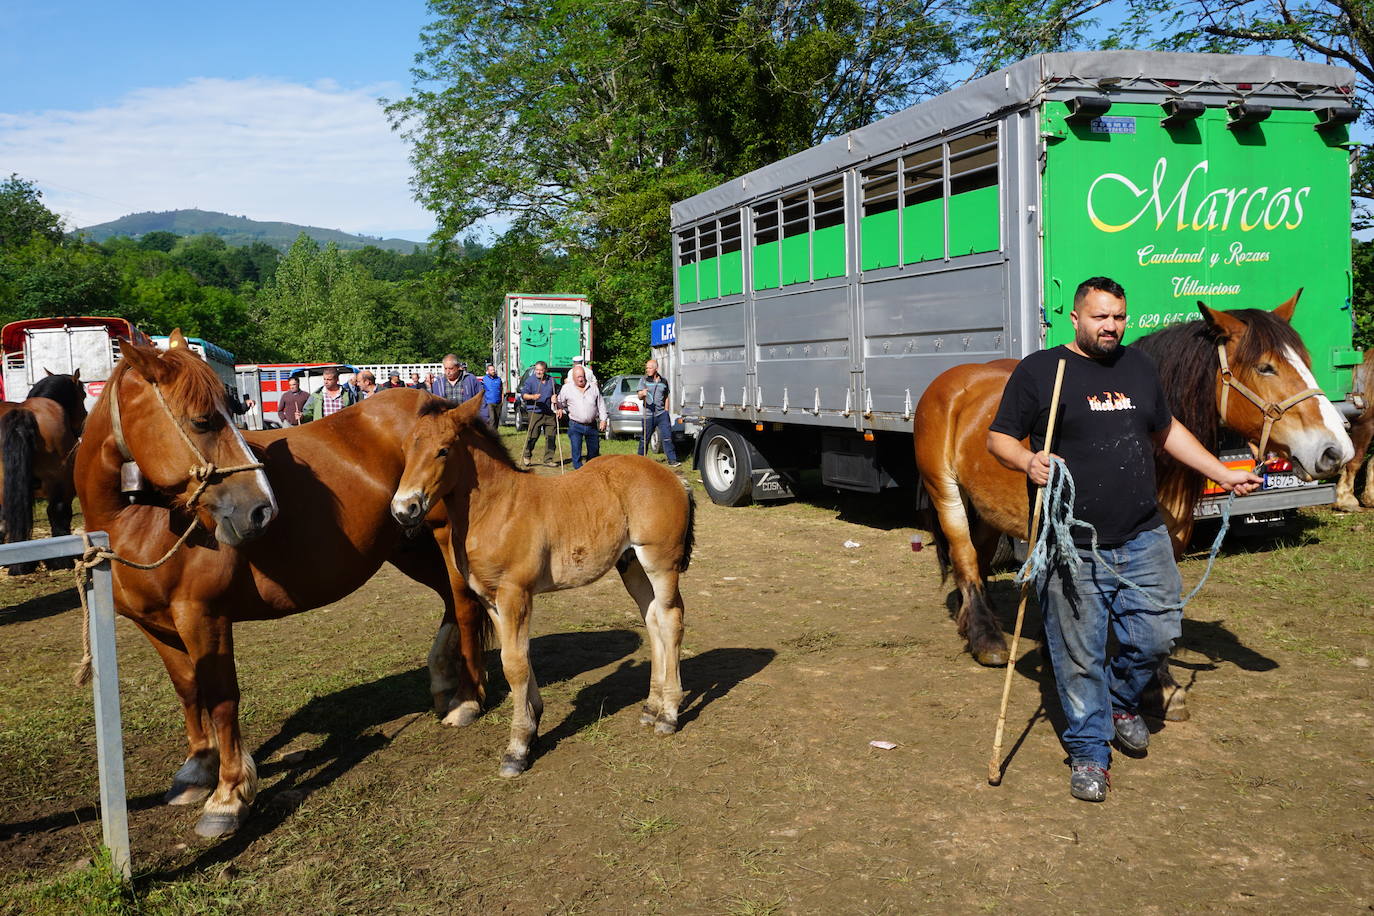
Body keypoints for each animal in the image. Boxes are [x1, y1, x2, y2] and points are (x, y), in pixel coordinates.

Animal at [73, 336, 489, 840]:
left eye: (231, 409)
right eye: (203, 420)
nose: (260, 508)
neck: (137, 518)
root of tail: (440, 405)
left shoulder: (204, 617)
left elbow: (222, 698)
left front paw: (228, 796)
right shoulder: (154, 625)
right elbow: (188, 689)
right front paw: (196, 769)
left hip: (443, 539)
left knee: (465, 605)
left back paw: (468, 700)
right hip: (407, 545)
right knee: (450, 601)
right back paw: (445, 683)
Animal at [390, 395, 697, 780]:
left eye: (443, 450)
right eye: (405, 449)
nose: (404, 509)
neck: (497, 508)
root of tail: (674, 477)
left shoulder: (514, 594)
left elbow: (514, 664)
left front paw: (517, 748)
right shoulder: (492, 599)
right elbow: (518, 656)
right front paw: (533, 723)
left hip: (660, 562)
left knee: (672, 619)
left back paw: (668, 714)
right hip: (632, 565)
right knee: (653, 618)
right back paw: (651, 707)